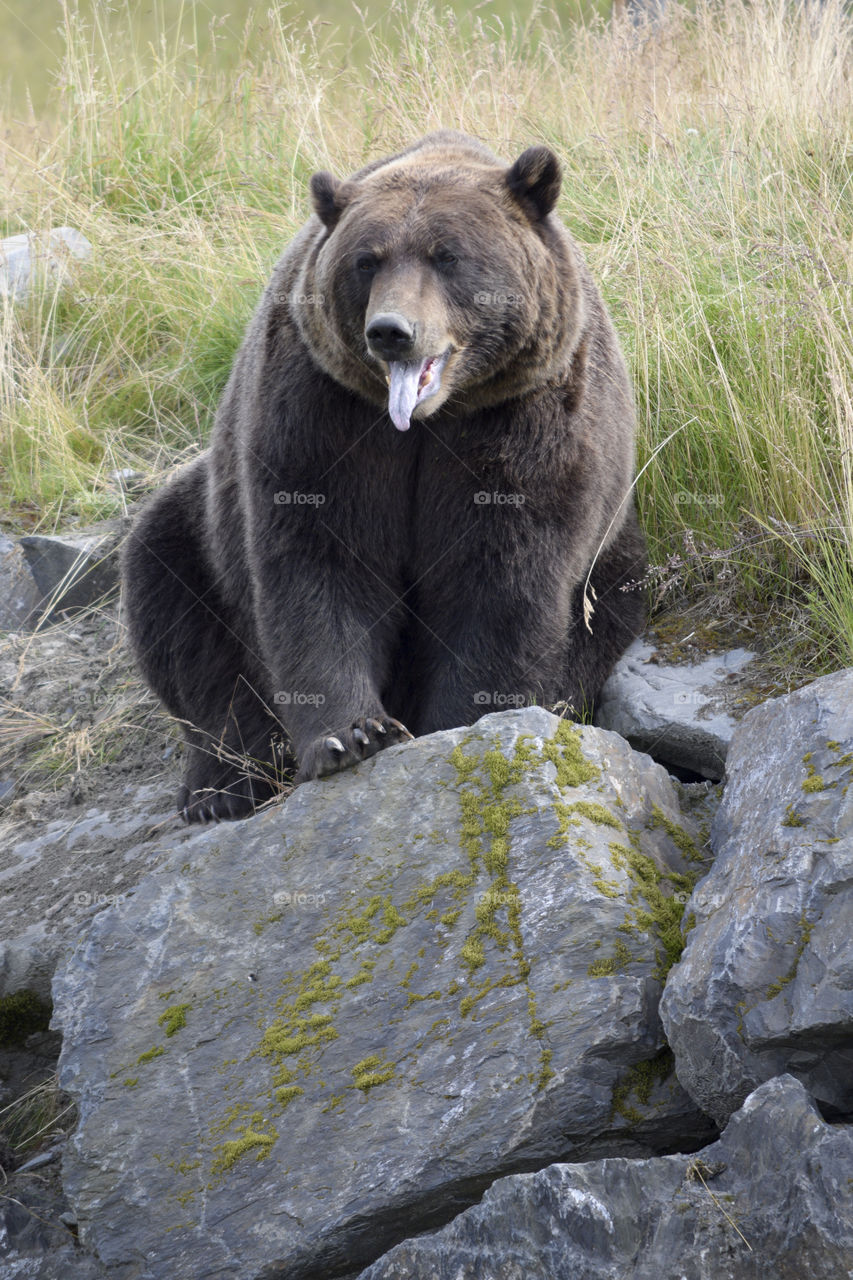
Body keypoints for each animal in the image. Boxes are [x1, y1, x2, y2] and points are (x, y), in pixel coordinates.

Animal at [122, 132, 645, 819]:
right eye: (367, 261)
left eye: (447, 255)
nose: (392, 331)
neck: (426, 420)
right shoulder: (322, 414)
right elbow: (321, 563)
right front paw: (352, 735)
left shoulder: (529, 421)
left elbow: (504, 580)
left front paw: (459, 723)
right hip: (203, 527)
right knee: (175, 604)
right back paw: (221, 785)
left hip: (618, 550)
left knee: (601, 614)